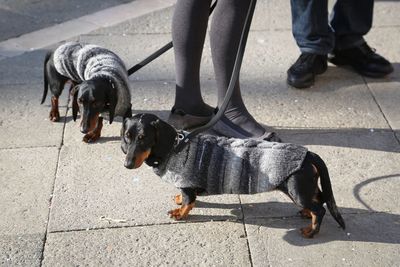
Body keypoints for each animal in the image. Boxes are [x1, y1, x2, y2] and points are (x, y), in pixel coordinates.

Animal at [120, 114, 346, 240]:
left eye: (143, 138)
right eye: (127, 137)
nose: (127, 165)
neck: (174, 147)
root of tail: (309, 154)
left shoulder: (188, 186)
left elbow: (188, 202)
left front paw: (180, 213)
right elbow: (185, 198)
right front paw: (178, 200)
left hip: (297, 190)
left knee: (320, 209)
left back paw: (311, 232)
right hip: (305, 188)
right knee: (321, 200)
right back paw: (307, 214)